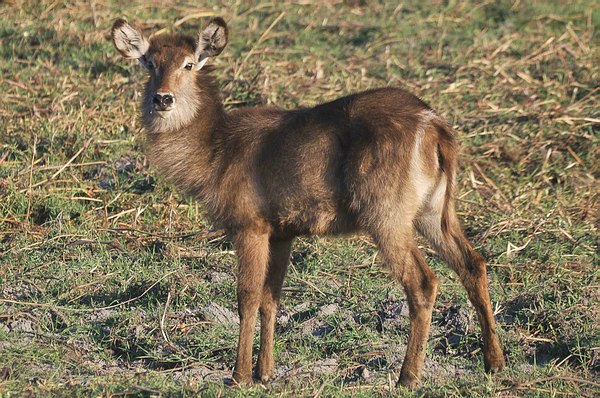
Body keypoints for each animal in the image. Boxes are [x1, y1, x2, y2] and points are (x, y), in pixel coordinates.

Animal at [112, 17, 506, 388]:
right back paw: (494, 362)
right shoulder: (282, 232)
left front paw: (239, 375)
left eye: (190, 63)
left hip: (387, 215)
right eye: (150, 63)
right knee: (473, 264)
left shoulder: (249, 225)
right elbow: (271, 298)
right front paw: (265, 372)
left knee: (423, 282)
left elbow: (247, 297)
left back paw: (408, 376)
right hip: (434, 211)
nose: (162, 99)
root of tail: (436, 128)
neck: (214, 150)